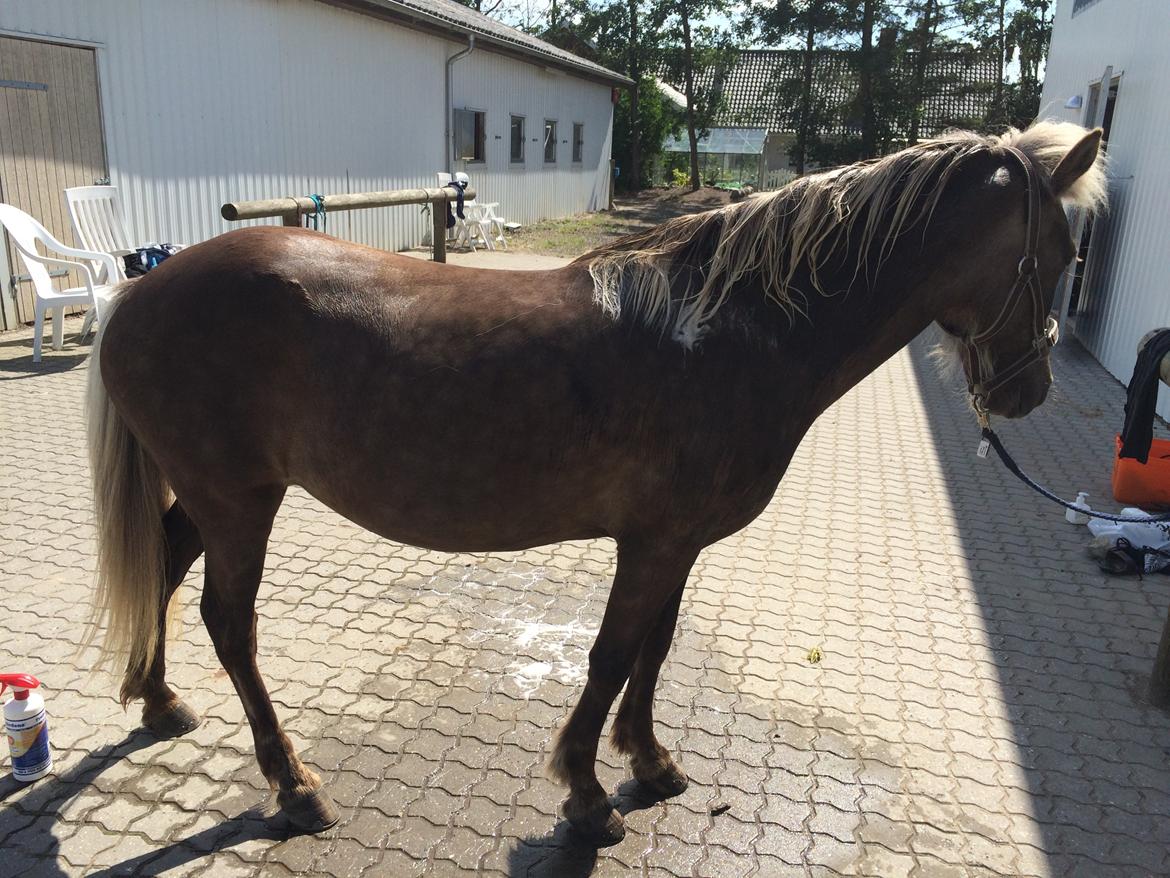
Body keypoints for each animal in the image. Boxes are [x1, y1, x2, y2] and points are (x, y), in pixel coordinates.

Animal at [86, 122, 1099, 847]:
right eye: (1058, 257)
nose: (1030, 390)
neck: (730, 331)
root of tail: (142, 291)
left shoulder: (679, 542)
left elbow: (654, 651)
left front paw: (648, 763)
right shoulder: (651, 544)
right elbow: (611, 657)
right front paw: (585, 792)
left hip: (215, 499)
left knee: (165, 570)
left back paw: (159, 700)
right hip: (239, 503)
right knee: (229, 622)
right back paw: (294, 787)